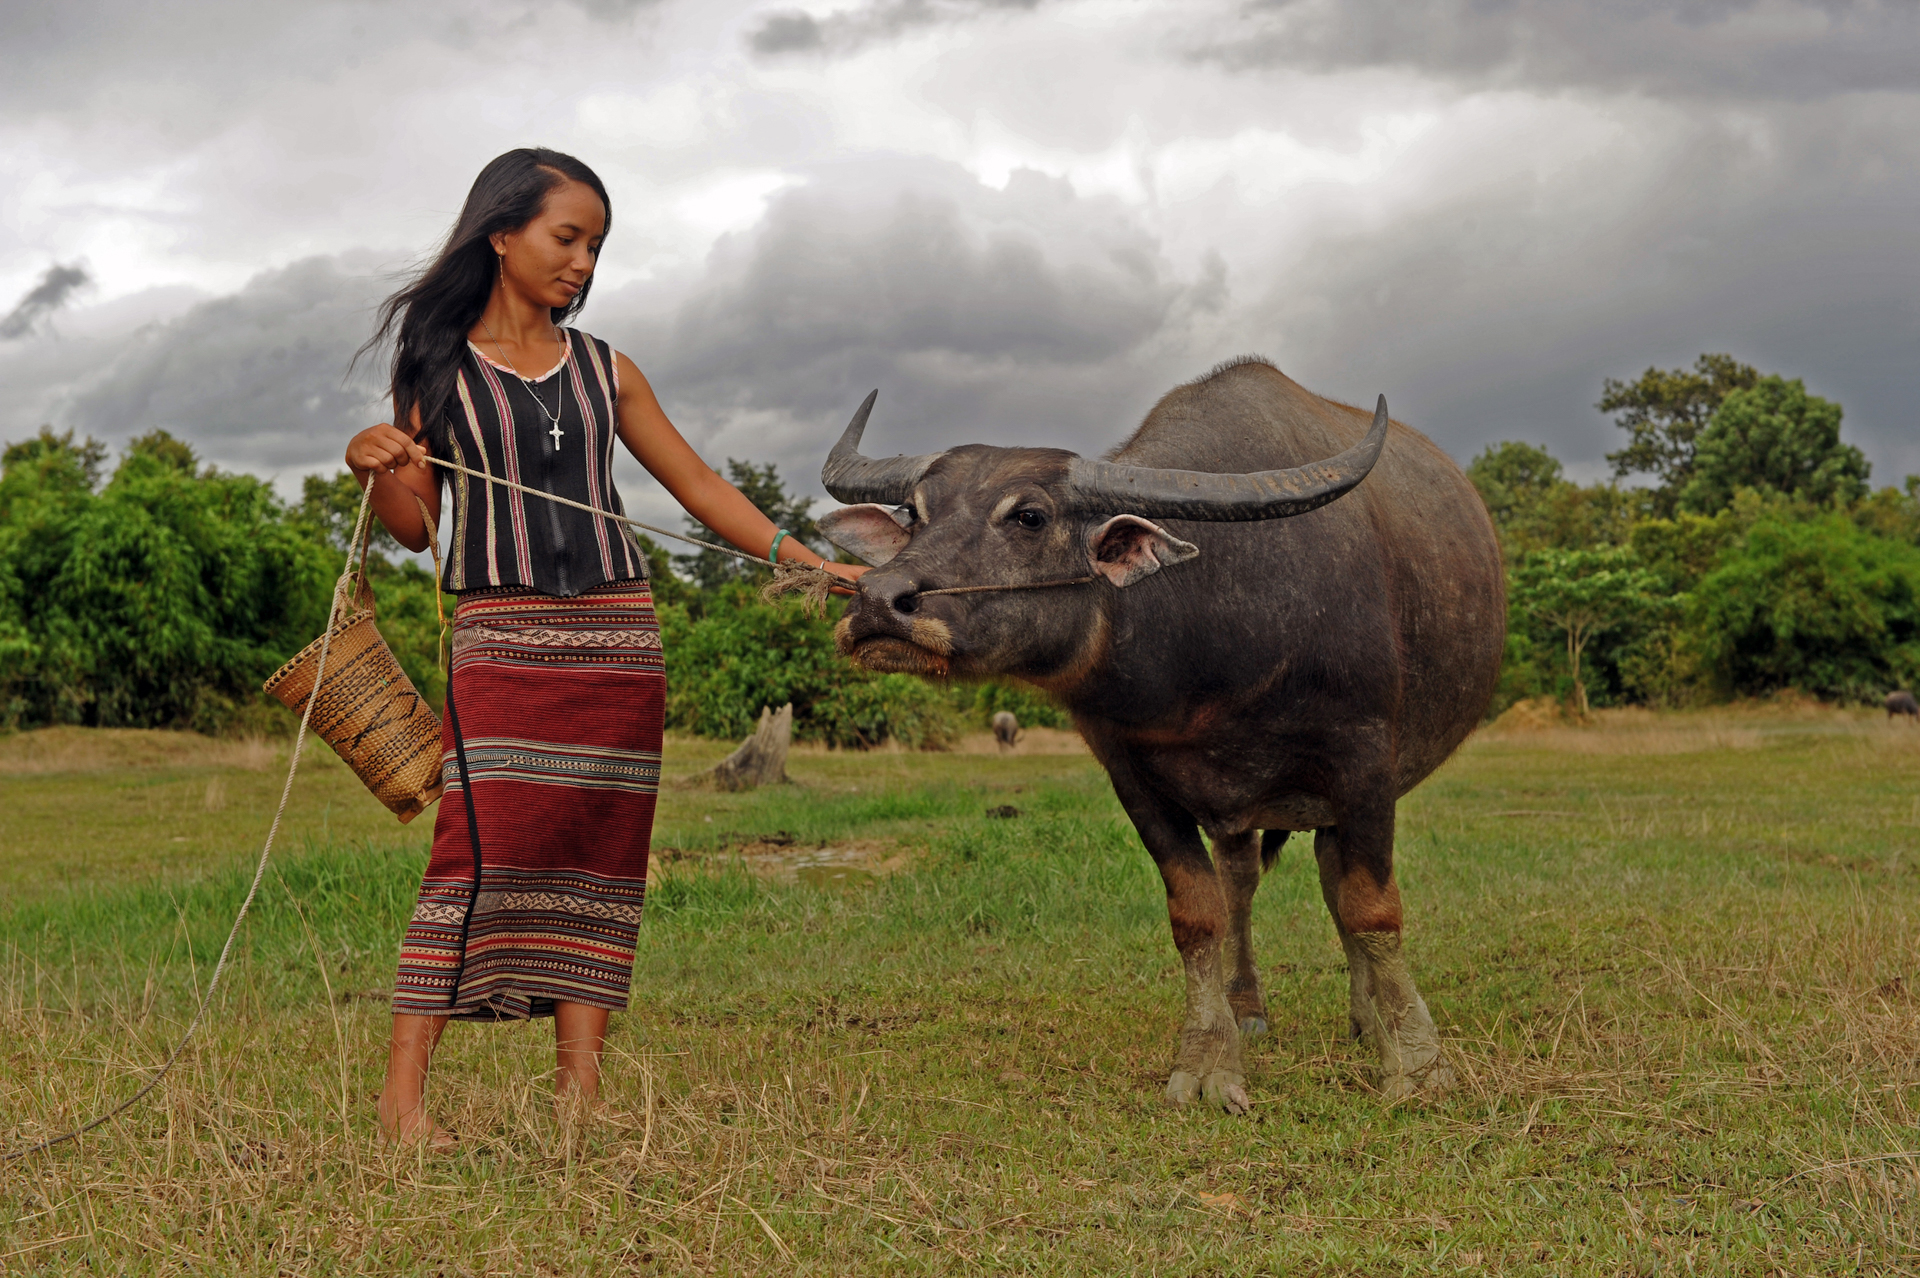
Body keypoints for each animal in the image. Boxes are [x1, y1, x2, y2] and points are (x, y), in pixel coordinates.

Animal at [817, 355, 1505, 1105]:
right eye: (915, 513)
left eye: (1029, 516)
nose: (878, 601)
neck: (1208, 653)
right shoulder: (1133, 775)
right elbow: (1198, 915)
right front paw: (1209, 1061)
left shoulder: (1365, 762)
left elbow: (1372, 910)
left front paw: (1418, 1063)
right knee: (1245, 883)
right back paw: (1250, 1007)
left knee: (1332, 882)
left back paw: (1365, 1017)